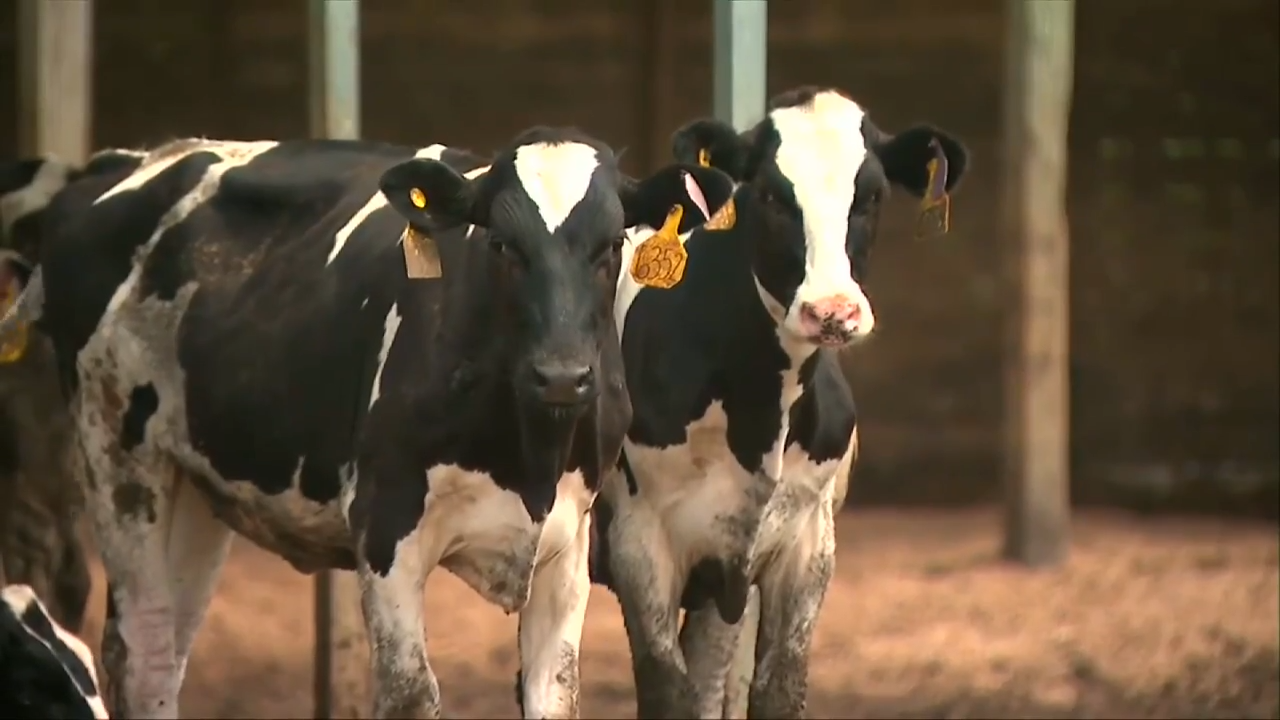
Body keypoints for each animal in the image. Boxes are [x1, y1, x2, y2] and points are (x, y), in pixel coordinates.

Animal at [592, 86, 970, 719]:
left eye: (872, 195)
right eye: (769, 194)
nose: (833, 311)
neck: (756, 417)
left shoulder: (805, 545)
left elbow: (778, 690)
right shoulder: (639, 545)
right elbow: (667, 694)